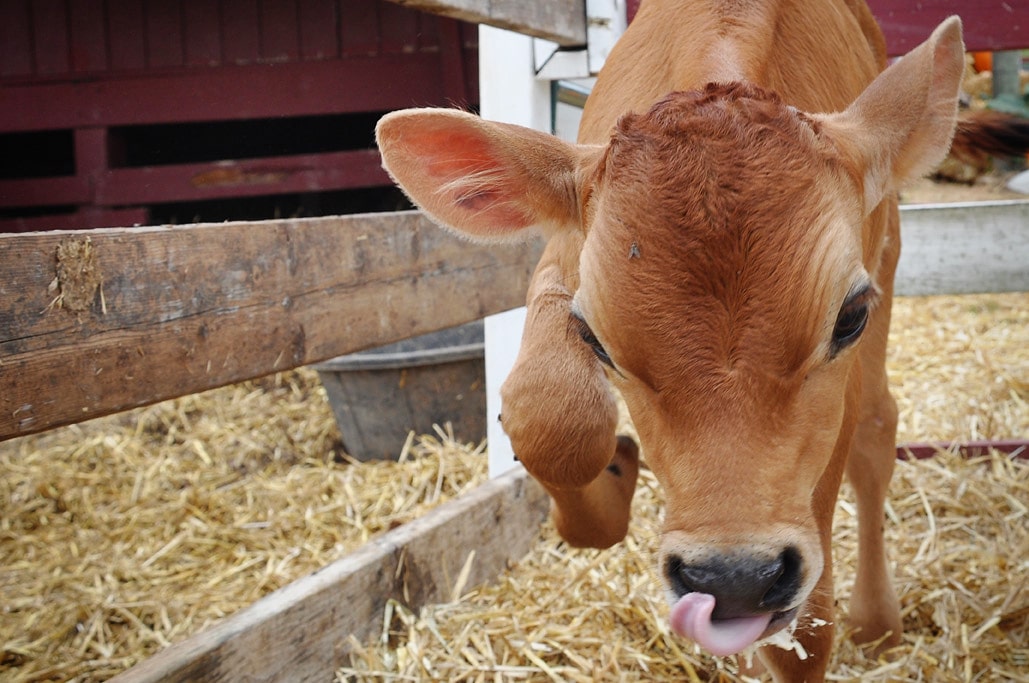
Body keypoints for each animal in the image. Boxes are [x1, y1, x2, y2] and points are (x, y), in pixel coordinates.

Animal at [378, 2, 971, 678]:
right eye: (594, 338)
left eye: (848, 317)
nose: (734, 578)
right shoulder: (567, 250)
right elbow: (549, 413)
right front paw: (616, 468)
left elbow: (804, 631)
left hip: (890, 247)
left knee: (876, 428)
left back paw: (876, 619)